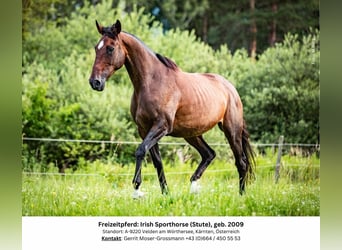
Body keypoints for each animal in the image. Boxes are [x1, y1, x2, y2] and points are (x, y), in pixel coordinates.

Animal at [88, 20, 254, 197]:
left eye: (110, 48)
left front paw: (137, 190)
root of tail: (230, 88)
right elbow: (157, 161)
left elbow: (140, 151)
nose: (95, 82)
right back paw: (193, 187)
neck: (151, 82)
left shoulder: (161, 126)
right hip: (192, 134)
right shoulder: (144, 129)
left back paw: (241, 195)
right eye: (96, 48)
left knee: (241, 162)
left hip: (231, 130)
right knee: (209, 154)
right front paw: (165, 193)